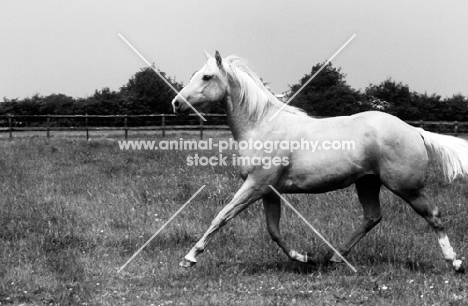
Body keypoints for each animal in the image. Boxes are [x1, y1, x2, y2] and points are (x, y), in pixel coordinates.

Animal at [172, 50, 468, 272]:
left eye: (207, 76)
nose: (176, 103)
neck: (261, 126)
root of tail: (414, 130)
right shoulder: (269, 191)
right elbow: (273, 230)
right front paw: (305, 258)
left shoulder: (256, 186)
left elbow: (221, 216)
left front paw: (189, 258)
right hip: (368, 184)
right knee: (372, 217)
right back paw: (333, 257)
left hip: (405, 187)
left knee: (433, 215)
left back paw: (454, 262)